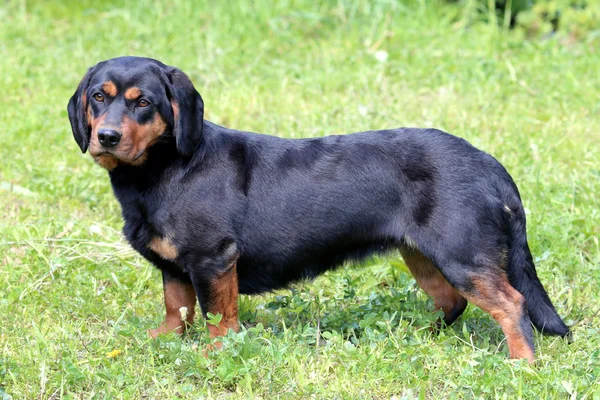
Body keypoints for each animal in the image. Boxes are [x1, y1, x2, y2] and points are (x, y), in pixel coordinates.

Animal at [68, 57, 568, 362]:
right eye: (98, 97)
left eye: (144, 103)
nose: (107, 137)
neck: (168, 167)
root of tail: (489, 165)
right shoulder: (176, 265)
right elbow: (178, 307)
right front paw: (168, 340)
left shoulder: (214, 259)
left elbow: (217, 317)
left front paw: (215, 353)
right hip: (422, 254)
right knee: (451, 302)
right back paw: (415, 334)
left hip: (461, 255)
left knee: (511, 303)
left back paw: (521, 362)